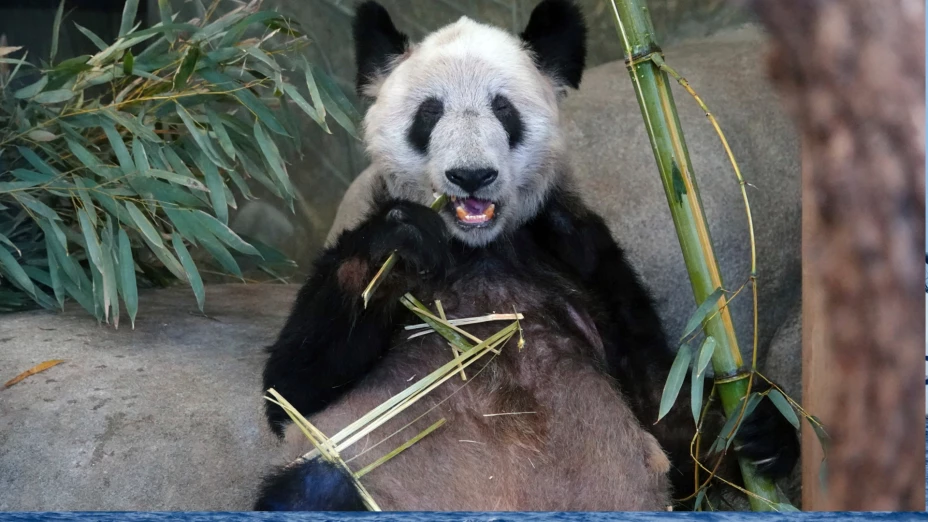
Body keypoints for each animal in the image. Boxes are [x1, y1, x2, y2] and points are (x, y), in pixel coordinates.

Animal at [254, 0, 799, 511]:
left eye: (503, 109)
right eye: (429, 112)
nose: (471, 175)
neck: (478, 249)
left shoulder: (582, 257)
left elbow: (667, 410)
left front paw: (760, 421)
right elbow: (293, 387)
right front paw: (398, 243)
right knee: (315, 488)